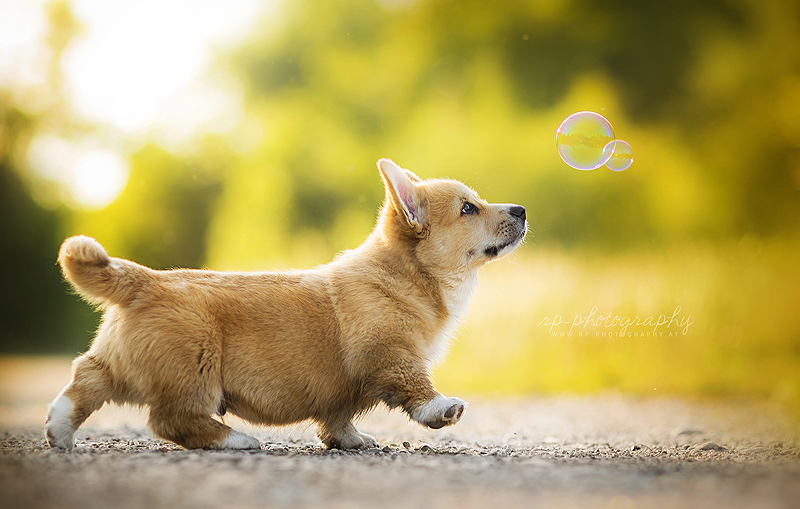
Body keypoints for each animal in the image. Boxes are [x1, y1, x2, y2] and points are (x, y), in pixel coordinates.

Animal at [47, 159, 528, 448]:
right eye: (468, 209)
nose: (521, 209)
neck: (410, 275)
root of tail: (144, 280)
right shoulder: (388, 353)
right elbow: (415, 386)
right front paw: (441, 409)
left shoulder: (342, 390)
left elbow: (337, 418)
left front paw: (351, 441)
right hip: (195, 366)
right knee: (170, 419)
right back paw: (234, 440)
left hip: (120, 362)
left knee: (86, 378)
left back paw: (58, 429)